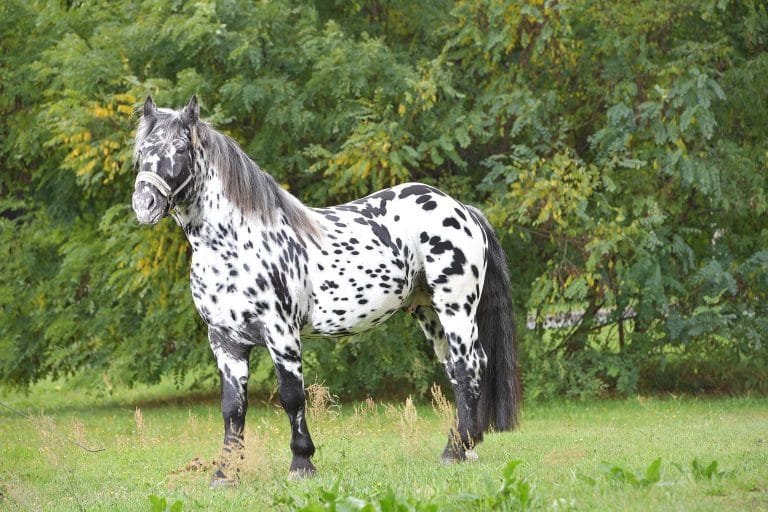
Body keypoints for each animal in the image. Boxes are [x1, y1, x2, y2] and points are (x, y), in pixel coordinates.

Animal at [131, 95, 521, 486]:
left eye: (181, 148)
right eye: (141, 150)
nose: (144, 204)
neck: (235, 244)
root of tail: (461, 209)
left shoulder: (282, 334)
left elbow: (291, 397)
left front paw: (301, 463)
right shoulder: (225, 342)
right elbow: (232, 407)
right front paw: (226, 473)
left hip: (457, 308)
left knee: (470, 366)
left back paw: (455, 451)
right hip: (429, 312)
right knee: (456, 370)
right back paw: (465, 448)